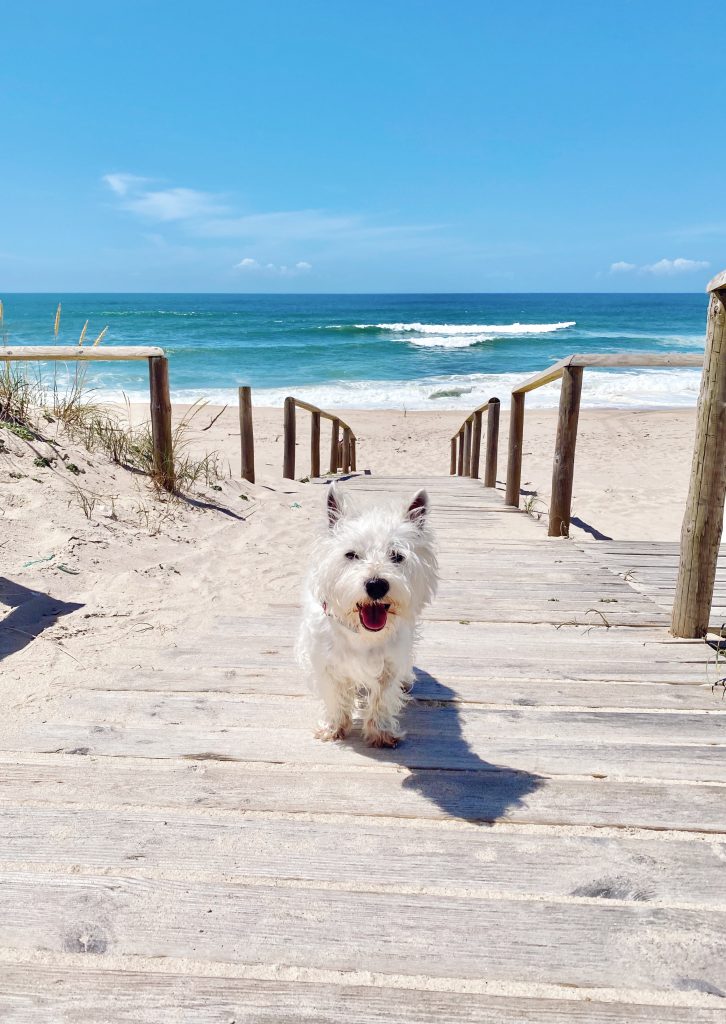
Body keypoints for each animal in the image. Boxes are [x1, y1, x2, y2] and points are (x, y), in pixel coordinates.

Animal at [294, 483, 436, 749]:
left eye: (397, 556)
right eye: (351, 554)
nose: (376, 585)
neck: (361, 635)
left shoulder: (390, 663)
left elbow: (383, 696)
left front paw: (380, 731)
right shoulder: (325, 661)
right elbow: (335, 695)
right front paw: (333, 727)